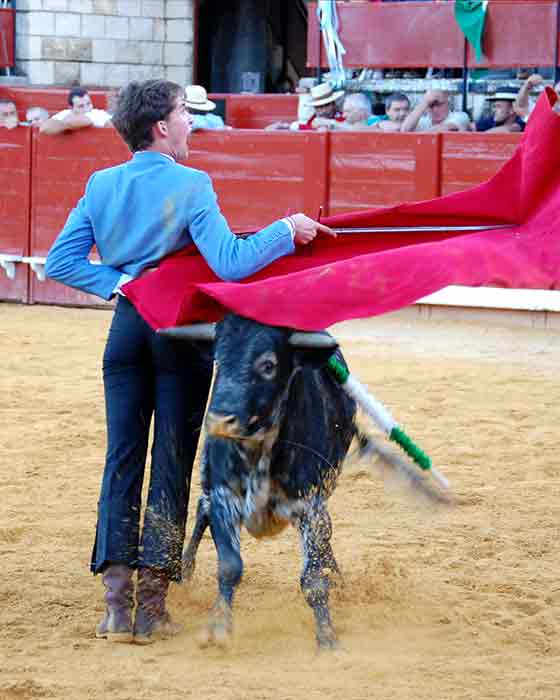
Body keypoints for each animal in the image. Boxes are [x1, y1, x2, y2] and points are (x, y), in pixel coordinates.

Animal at [160, 314, 356, 648]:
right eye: (218, 359)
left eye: (268, 365)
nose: (219, 421)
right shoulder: (223, 496)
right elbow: (230, 566)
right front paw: (219, 628)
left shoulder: (310, 505)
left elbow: (313, 578)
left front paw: (327, 637)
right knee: (201, 509)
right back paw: (184, 571)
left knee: (326, 538)